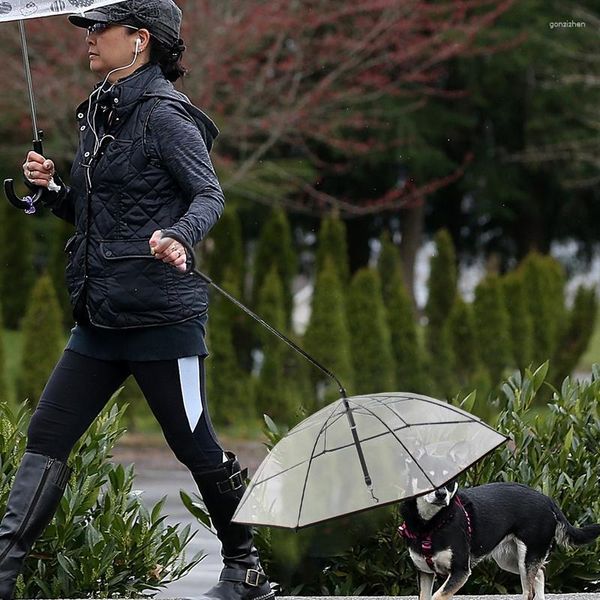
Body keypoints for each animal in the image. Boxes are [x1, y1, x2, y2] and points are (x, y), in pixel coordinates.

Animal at [398, 482, 600, 600]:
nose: (441, 495)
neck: (430, 525)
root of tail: (548, 500)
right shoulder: (425, 572)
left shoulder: (460, 571)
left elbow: (438, 596)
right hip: (511, 560)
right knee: (540, 573)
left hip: (528, 555)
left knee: (529, 591)